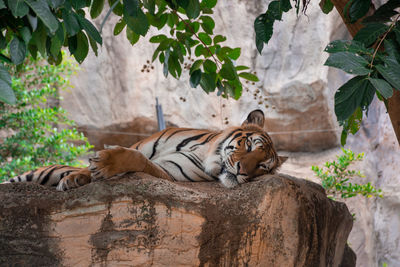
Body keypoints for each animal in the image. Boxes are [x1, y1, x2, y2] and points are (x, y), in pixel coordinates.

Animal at [1, 110, 286, 192]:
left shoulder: (169, 173)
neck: (206, 152)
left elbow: (136, 159)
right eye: (249, 146)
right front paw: (80, 175)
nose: (242, 171)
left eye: (262, 167)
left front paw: (104, 163)